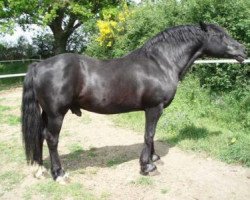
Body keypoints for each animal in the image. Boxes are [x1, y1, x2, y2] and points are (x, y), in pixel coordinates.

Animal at [21, 22, 246, 181]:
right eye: (220, 35)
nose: (243, 50)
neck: (161, 62)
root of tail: (39, 65)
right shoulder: (154, 108)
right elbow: (149, 135)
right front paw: (147, 166)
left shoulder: (154, 109)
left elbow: (152, 135)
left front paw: (153, 158)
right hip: (56, 114)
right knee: (52, 139)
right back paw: (59, 174)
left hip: (46, 113)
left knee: (40, 135)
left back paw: (40, 169)